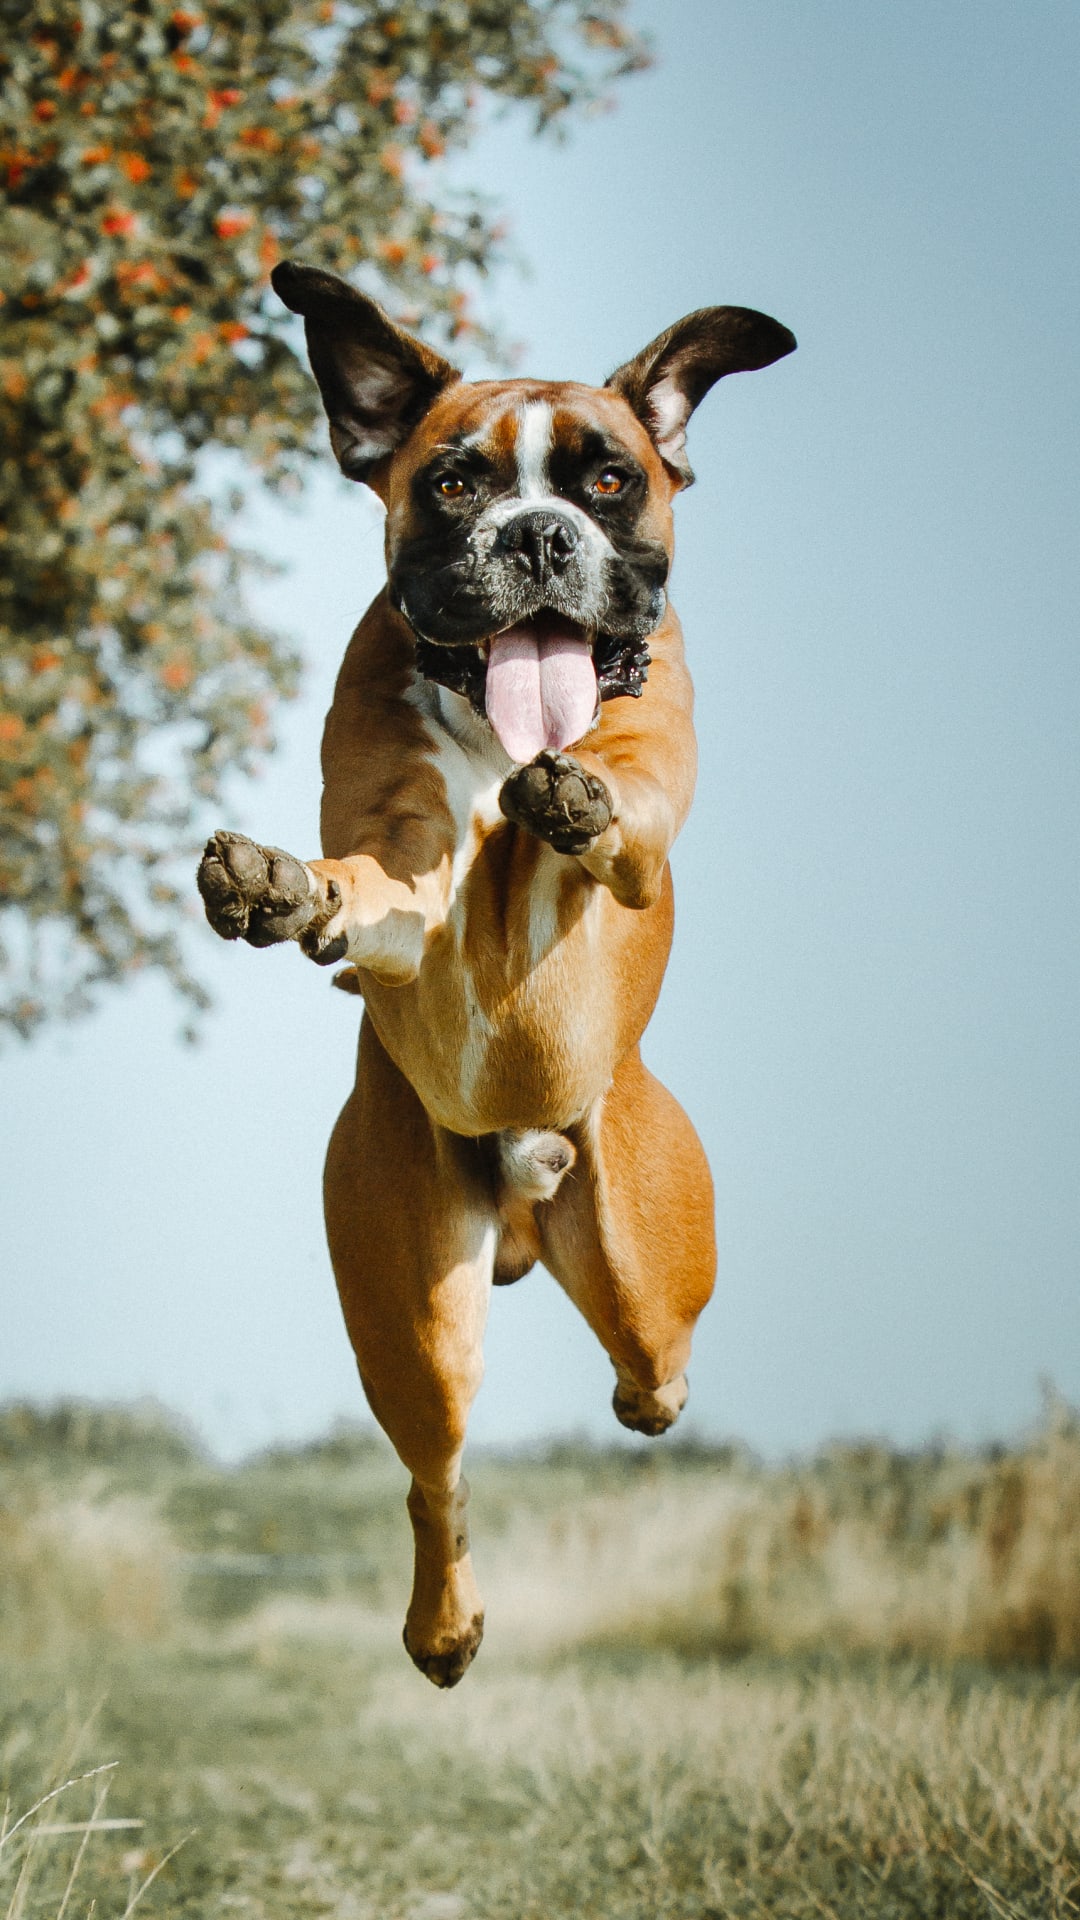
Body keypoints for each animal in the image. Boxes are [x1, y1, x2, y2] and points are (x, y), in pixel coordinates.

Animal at [195, 266, 791, 1681]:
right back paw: (444, 1627)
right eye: (457, 482)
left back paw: (643, 1397)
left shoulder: (625, 843)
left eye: (609, 481)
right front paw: (282, 885)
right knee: (437, 1471)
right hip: (415, 1319)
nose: (535, 538)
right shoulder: (406, 881)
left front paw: (567, 799)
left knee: (655, 1372)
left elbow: (596, 826)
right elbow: (370, 892)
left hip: (642, 1266)